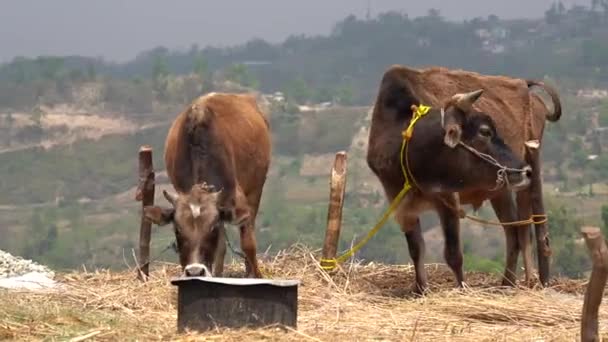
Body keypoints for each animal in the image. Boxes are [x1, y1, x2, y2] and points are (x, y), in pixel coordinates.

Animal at [142, 91, 270, 278]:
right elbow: (220, 248)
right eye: (177, 230)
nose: (195, 271)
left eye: (211, 229)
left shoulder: (238, 202)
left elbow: (248, 244)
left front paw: (256, 275)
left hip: (255, 188)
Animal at [370, 64, 564, 288]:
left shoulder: (449, 200)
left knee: (530, 231)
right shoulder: (401, 204)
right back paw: (507, 282)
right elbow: (416, 248)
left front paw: (462, 287)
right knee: (514, 231)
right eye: (485, 131)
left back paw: (534, 280)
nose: (525, 171)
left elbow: (454, 255)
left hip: (529, 169)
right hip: (501, 191)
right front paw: (420, 289)